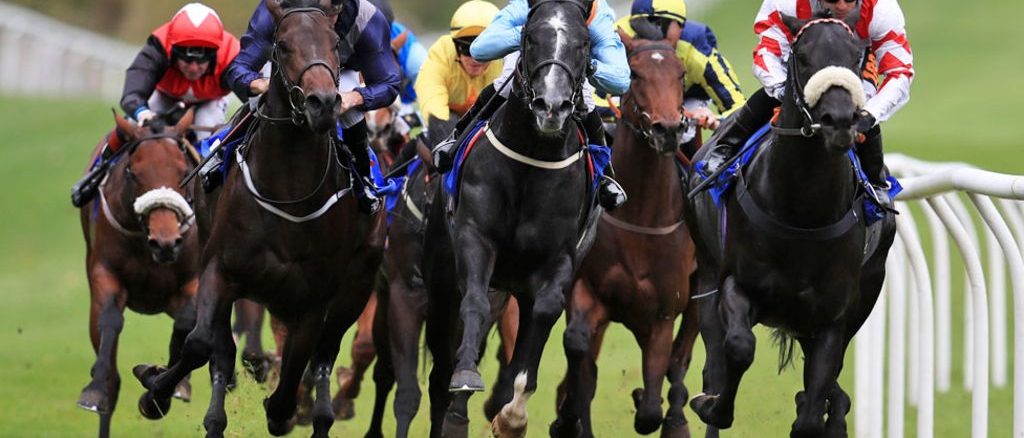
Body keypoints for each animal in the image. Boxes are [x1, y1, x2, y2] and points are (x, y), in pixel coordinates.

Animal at [76, 108, 199, 438]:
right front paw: (96, 390)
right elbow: (109, 320)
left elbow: (186, 322)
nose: (165, 242)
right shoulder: (104, 273)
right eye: (133, 172)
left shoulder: (192, 279)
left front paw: (160, 393)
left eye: (183, 171)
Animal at [131, 1, 385, 437]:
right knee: (221, 350)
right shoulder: (220, 269)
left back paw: (317, 411)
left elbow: (297, 367)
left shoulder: (315, 298)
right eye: (281, 45)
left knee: (324, 352)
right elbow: (200, 344)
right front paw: (154, 391)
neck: (289, 189)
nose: (322, 102)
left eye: (335, 44)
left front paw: (282, 410)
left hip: (356, 286)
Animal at [422, 0, 600, 435]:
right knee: (439, 370)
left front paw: (513, 415)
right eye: (530, 37)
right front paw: (466, 378)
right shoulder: (474, 239)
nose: (551, 105)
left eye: (584, 43)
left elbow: (545, 312)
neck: (533, 159)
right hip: (440, 282)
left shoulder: (558, 261)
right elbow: (474, 304)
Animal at [551, 23, 701, 438]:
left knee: (680, 360)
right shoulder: (588, 292)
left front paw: (646, 402)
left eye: (680, 74)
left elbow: (650, 405)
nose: (668, 130)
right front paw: (567, 417)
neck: (641, 217)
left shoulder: (664, 314)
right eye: (635, 74)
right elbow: (578, 350)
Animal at [684, 10, 897, 437]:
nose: (839, 121)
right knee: (715, 356)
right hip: (707, 272)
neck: (804, 212)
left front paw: (818, 412)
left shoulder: (832, 319)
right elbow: (739, 348)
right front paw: (713, 407)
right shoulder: (737, 285)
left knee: (831, 387)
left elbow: (814, 409)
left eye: (856, 57)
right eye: (802, 56)